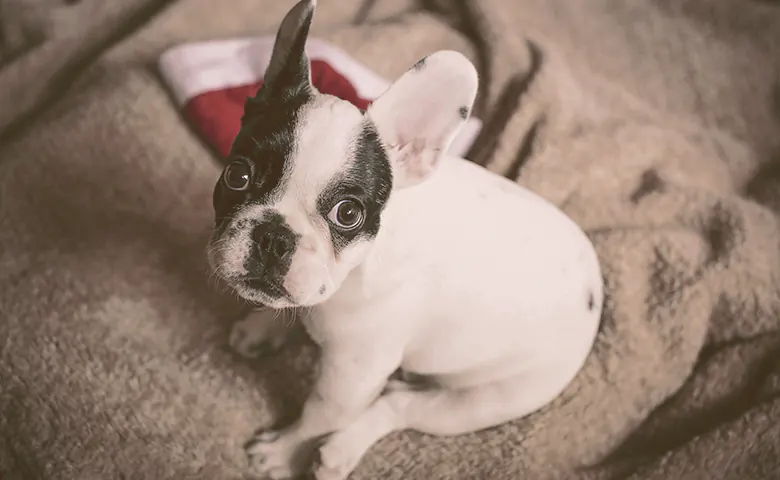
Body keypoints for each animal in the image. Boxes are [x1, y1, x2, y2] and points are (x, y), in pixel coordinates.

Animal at [207, 0, 604, 476]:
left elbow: (318, 414)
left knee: (401, 407)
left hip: (487, 400)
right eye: (237, 175)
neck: (353, 272)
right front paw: (260, 327)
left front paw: (283, 452)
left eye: (348, 214)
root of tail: (595, 292)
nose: (275, 236)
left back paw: (340, 452)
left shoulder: (352, 375)